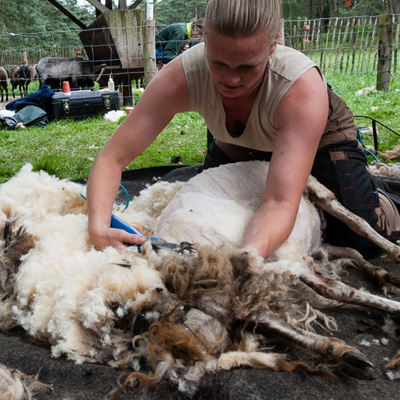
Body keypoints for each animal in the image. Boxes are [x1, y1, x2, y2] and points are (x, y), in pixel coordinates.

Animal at [0, 162, 400, 396]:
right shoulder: (252, 288)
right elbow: (282, 318)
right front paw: (343, 351)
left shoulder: (266, 264)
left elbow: (338, 284)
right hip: (302, 245)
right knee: (345, 257)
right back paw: (379, 281)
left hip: (312, 200)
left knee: (356, 225)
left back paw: (390, 260)